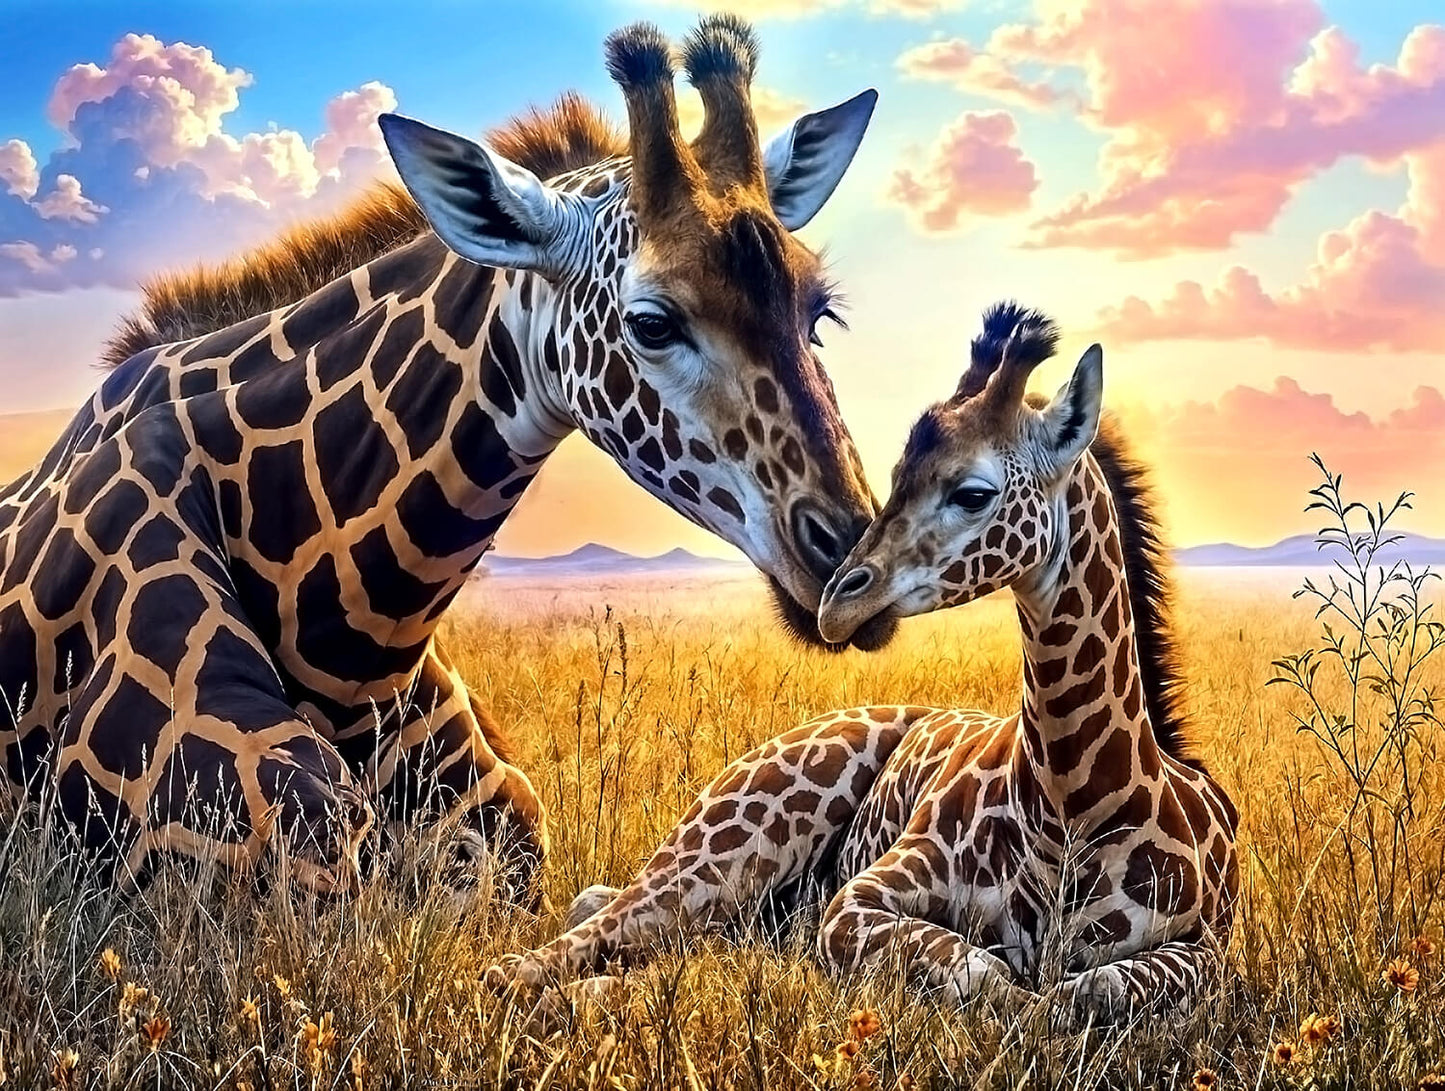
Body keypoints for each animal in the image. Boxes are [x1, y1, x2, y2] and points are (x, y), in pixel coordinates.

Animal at [486, 303, 1239, 1022]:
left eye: (973, 492)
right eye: (897, 476)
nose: (836, 603)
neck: (1076, 804)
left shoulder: (1206, 947)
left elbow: (1087, 990)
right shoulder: (860, 898)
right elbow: (992, 980)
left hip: (742, 908)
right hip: (728, 848)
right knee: (553, 949)